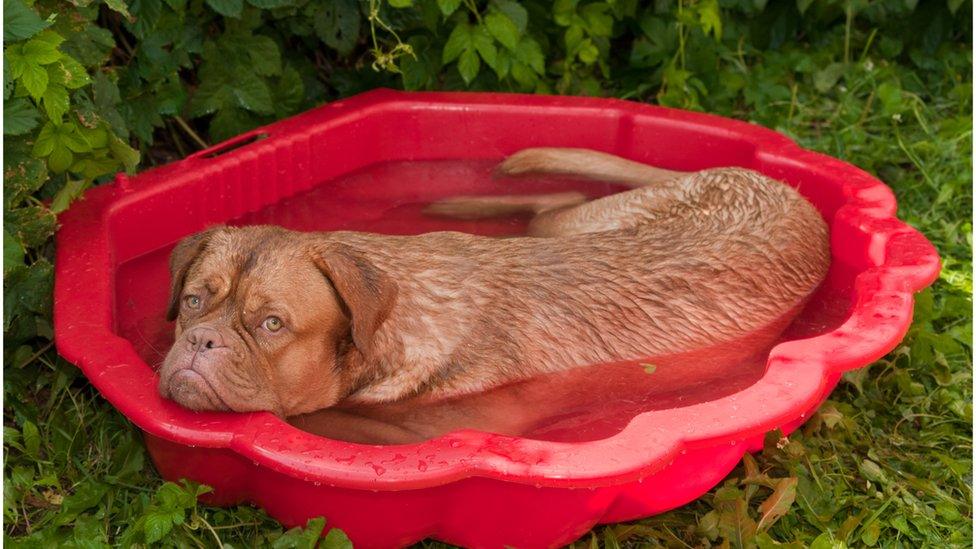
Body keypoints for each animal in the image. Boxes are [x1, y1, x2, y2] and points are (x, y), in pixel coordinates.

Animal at [156, 148, 828, 418]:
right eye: (193, 301)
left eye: (272, 324)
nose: (200, 341)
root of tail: (780, 185)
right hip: (585, 221)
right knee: (558, 201)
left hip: (579, 223)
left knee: (554, 201)